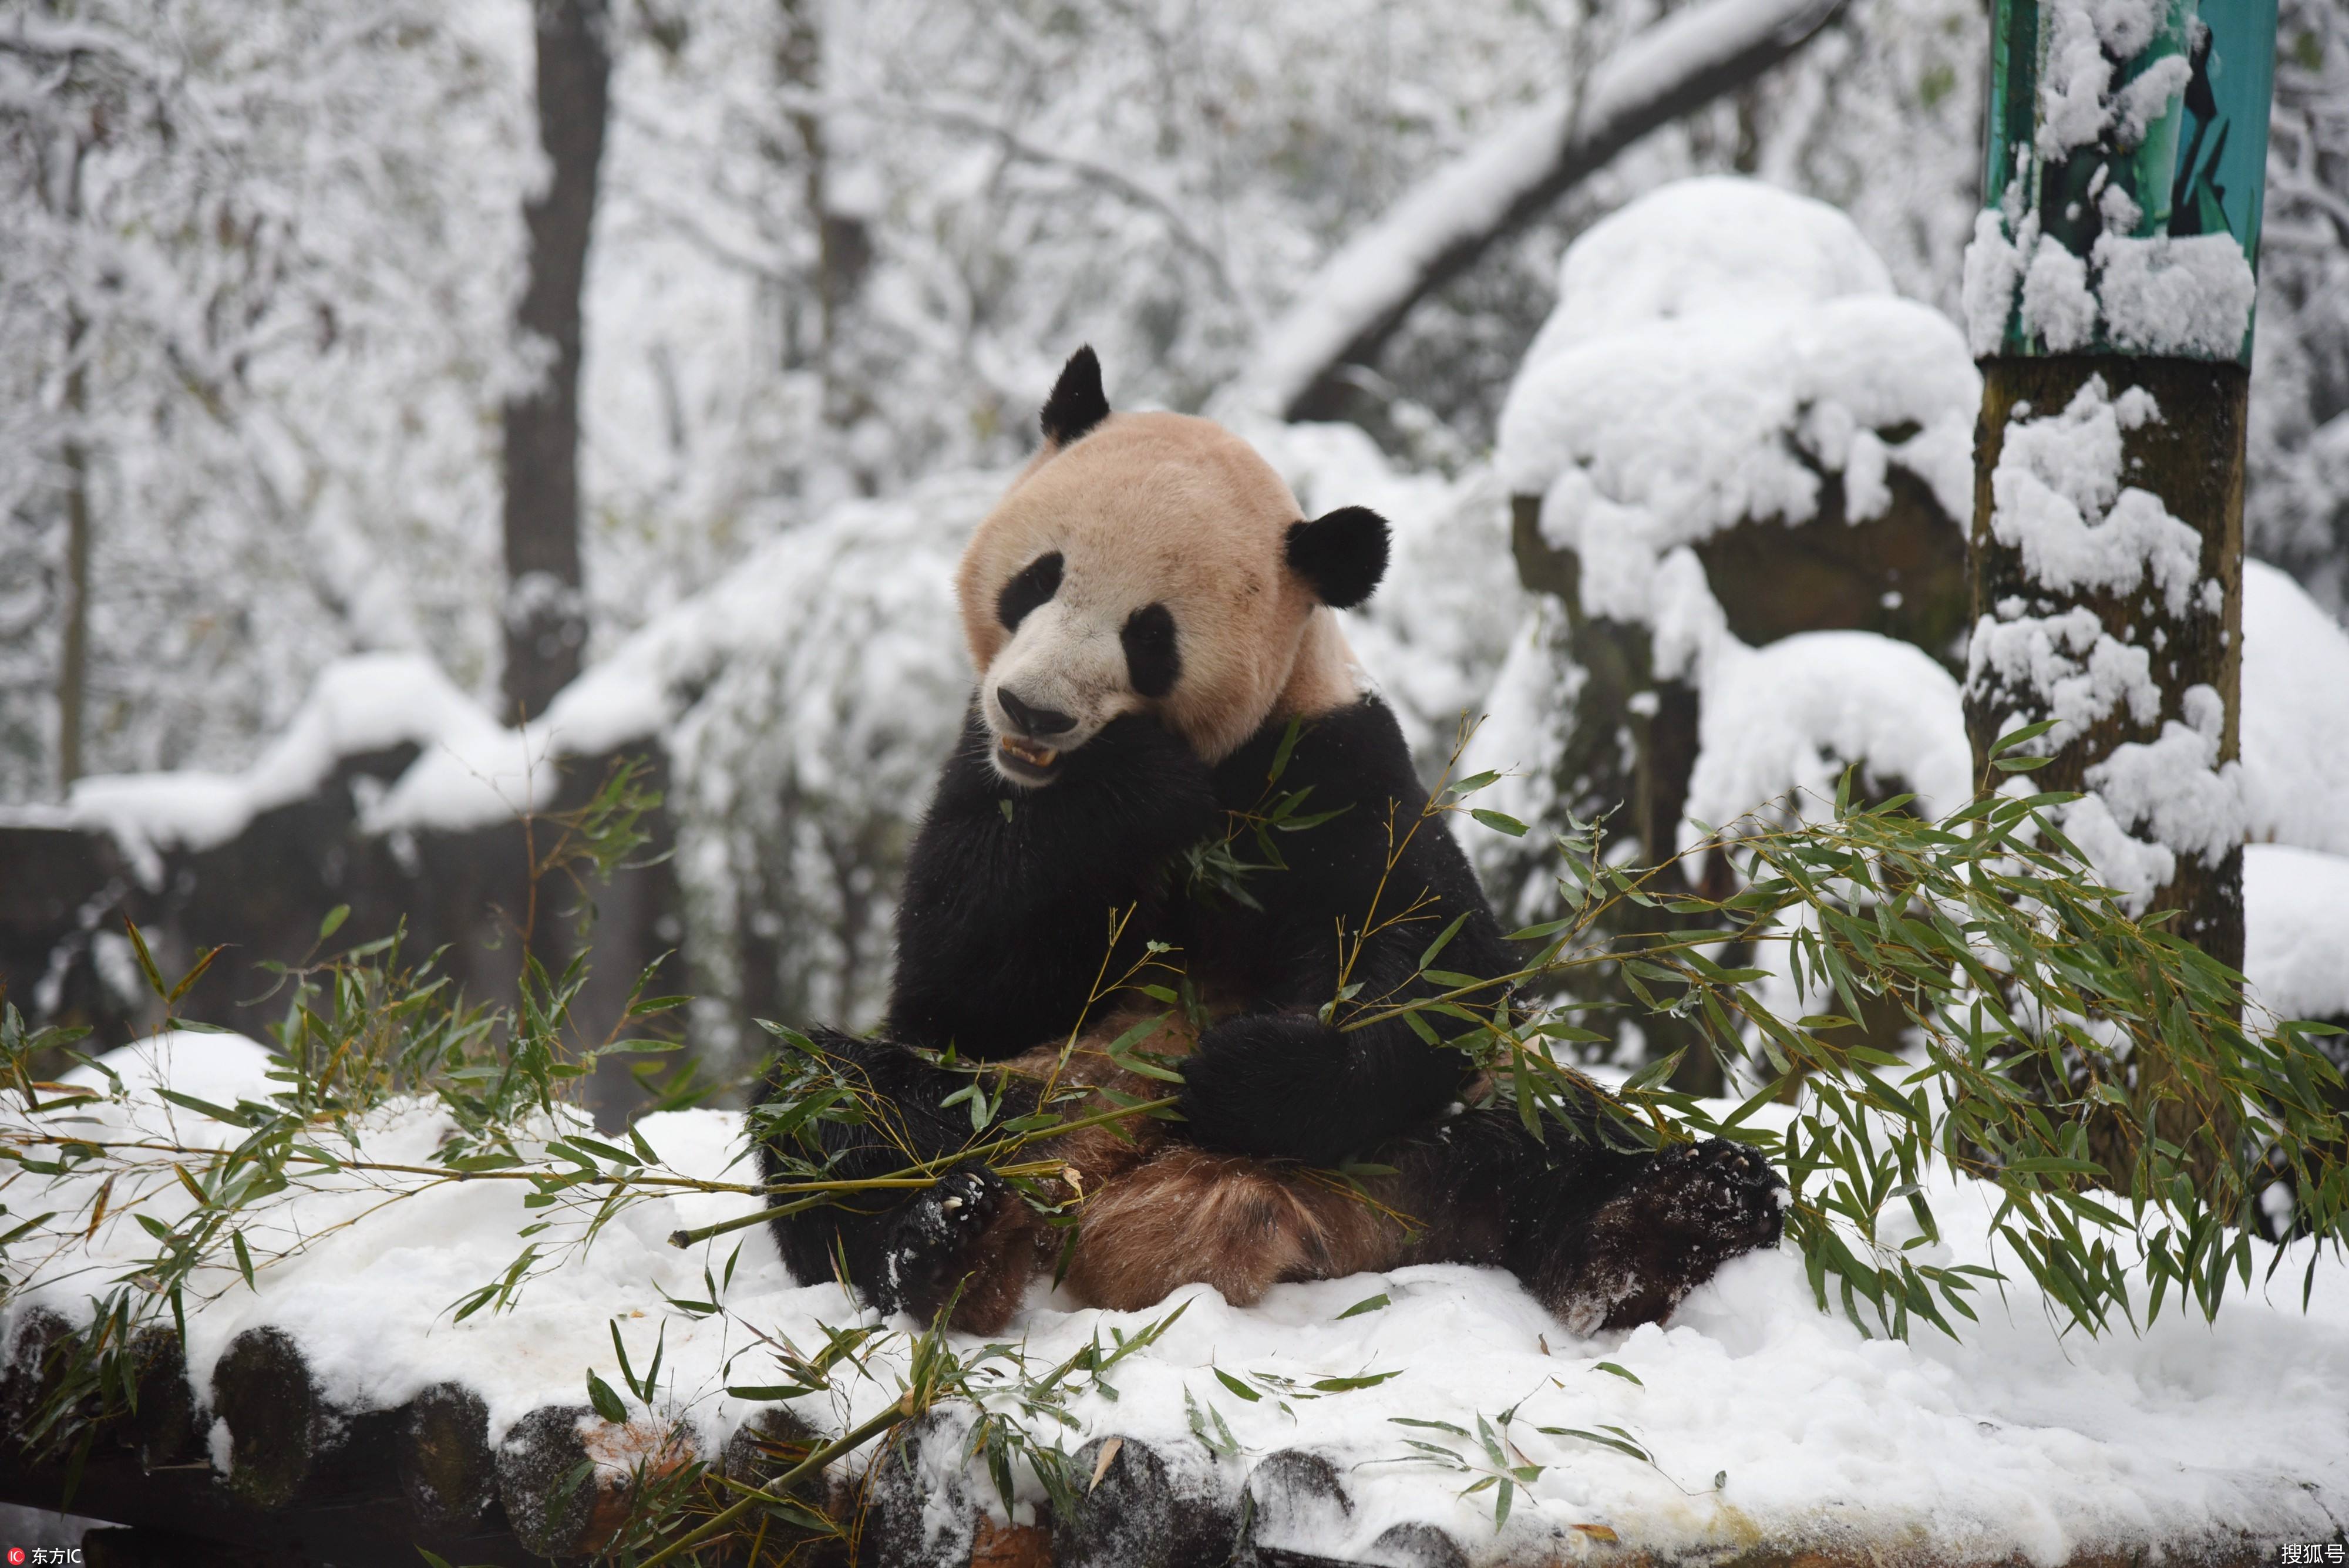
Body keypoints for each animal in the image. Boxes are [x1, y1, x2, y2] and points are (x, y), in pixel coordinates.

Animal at [756, 352, 1776, 1333]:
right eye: (1037, 578)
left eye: (1150, 634)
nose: (1034, 710)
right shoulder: (987, 774)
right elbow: (960, 983)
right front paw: (1133, 785)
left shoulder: (1339, 770)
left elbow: (1436, 964)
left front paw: (1238, 1065)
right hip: (1023, 1092)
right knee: (834, 1103)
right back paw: (941, 1240)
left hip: (1455, 1119)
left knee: (1569, 1138)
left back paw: (1675, 1216)